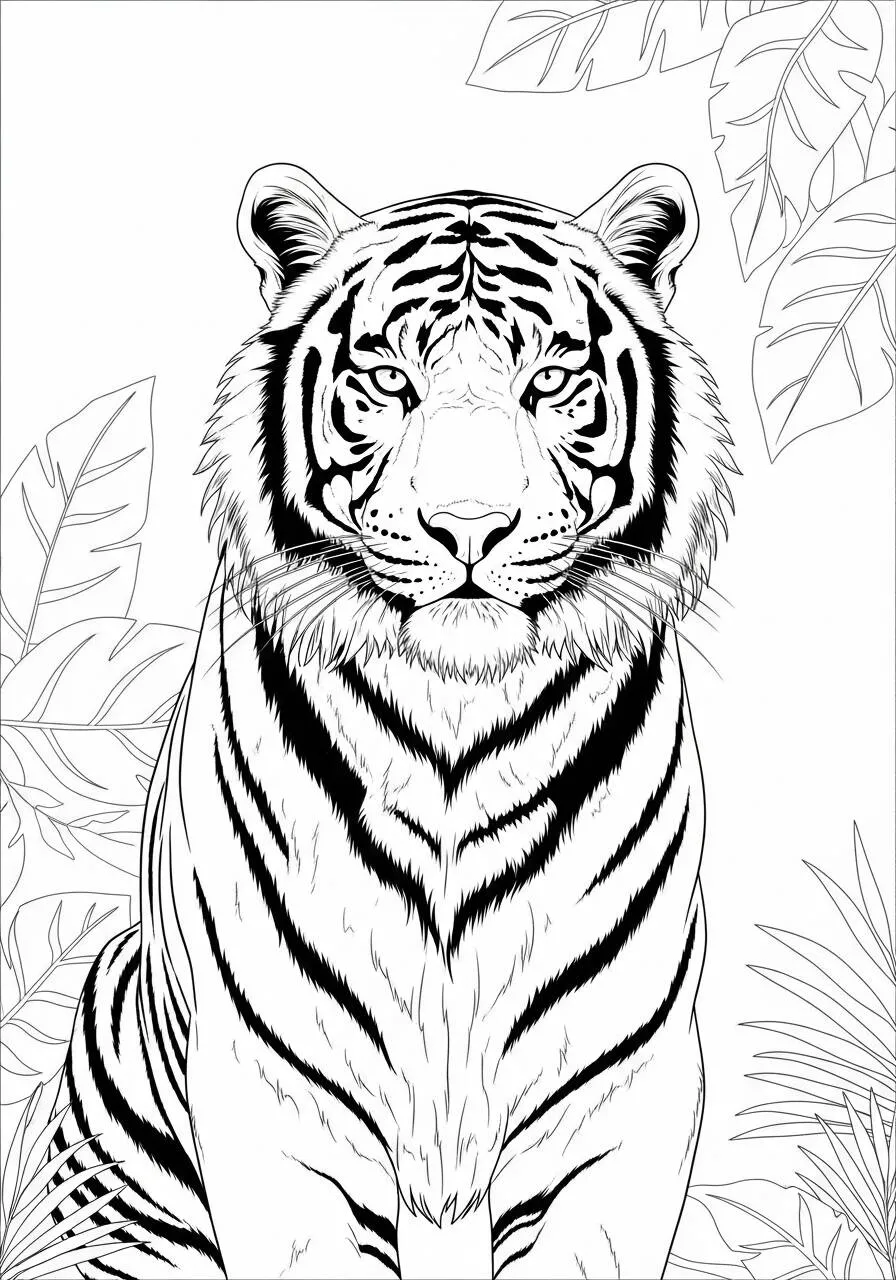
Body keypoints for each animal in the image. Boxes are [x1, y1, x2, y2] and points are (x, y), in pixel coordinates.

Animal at [52, 161, 735, 1280]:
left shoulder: (617, 1103)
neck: (458, 717)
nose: (468, 527)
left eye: (549, 382)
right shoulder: (274, 1107)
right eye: (386, 383)